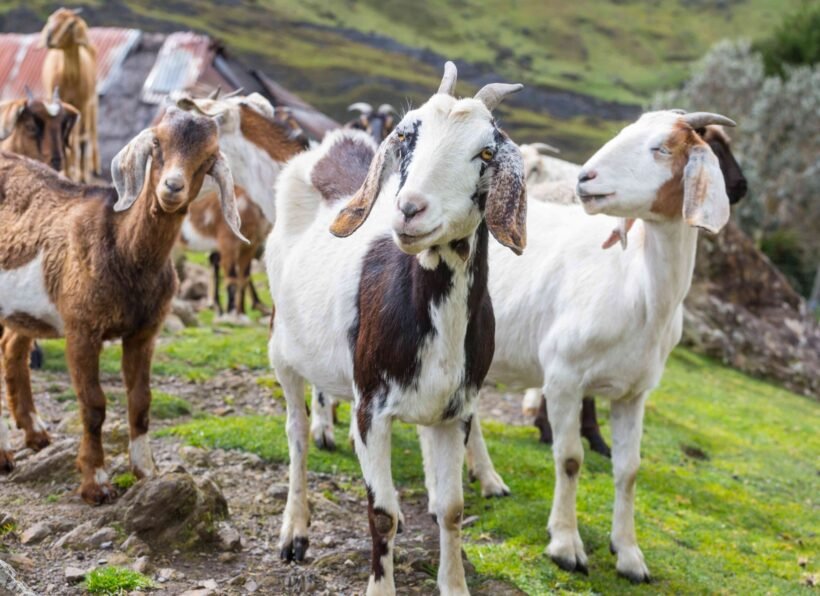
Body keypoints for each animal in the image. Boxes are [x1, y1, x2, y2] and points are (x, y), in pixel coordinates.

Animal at [0, 107, 244, 503]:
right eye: (157, 144)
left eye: (208, 158)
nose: (172, 187)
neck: (121, 246)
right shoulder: (82, 329)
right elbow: (94, 405)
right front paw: (96, 483)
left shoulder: (144, 332)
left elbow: (141, 401)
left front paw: (146, 471)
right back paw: (5, 453)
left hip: (25, 310)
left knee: (12, 348)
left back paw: (34, 433)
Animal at [40, 7, 99, 182]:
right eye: (50, 19)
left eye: (70, 25)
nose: (49, 38)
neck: (71, 79)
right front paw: (67, 174)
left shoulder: (83, 103)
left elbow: (82, 138)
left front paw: (82, 177)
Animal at [267, 61, 525, 594]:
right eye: (407, 134)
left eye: (487, 152)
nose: (409, 209)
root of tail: (332, 147)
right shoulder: (373, 405)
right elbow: (380, 512)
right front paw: (380, 583)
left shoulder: (454, 412)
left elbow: (451, 509)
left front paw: (454, 584)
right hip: (283, 352)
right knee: (297, 435)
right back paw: (294, 532)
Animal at [471, 110, 737, 582]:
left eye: (662, 148)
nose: (584, 178)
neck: (639, 290)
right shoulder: (563, 378)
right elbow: (570, 458)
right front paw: (565, 544)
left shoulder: (634, 393)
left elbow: (628, 470)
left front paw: (629, 554)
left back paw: (487, 479)